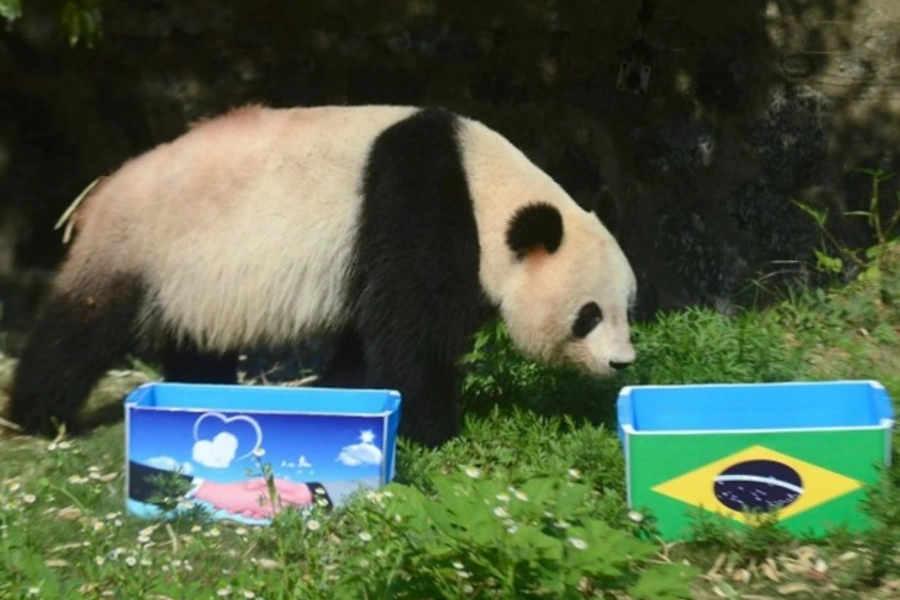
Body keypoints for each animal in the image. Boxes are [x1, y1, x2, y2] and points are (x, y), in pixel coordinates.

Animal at [8, 104, 640, 450]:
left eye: (627, 307)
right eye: (587, 315)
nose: (621, 363)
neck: (484, 186)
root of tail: (99, 193)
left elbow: (370, 330)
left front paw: (344, 390)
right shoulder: (417, 205)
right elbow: (409, 325)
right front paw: (435, 427)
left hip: (191, 278)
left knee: (195, 337)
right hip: (143, 246)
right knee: (82, 326)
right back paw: (37, 415)